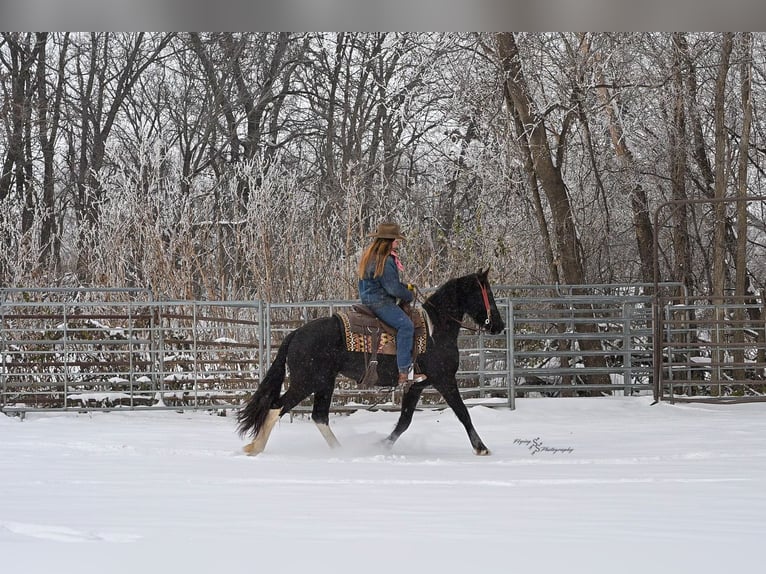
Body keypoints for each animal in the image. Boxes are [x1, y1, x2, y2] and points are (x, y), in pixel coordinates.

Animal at [236, 268, 505, 456]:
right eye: (489, 294)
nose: (499, 326)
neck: (435, 330)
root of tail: (295, 334)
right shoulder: (444, 380)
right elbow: (463, 413)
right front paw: (481, 448)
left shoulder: (416, 385)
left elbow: (404, 421)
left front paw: (380, 445)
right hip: (306, 382)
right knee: (277, 407)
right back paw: (255, 447)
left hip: (324, 382)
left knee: (319, 416)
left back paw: (341, 451)